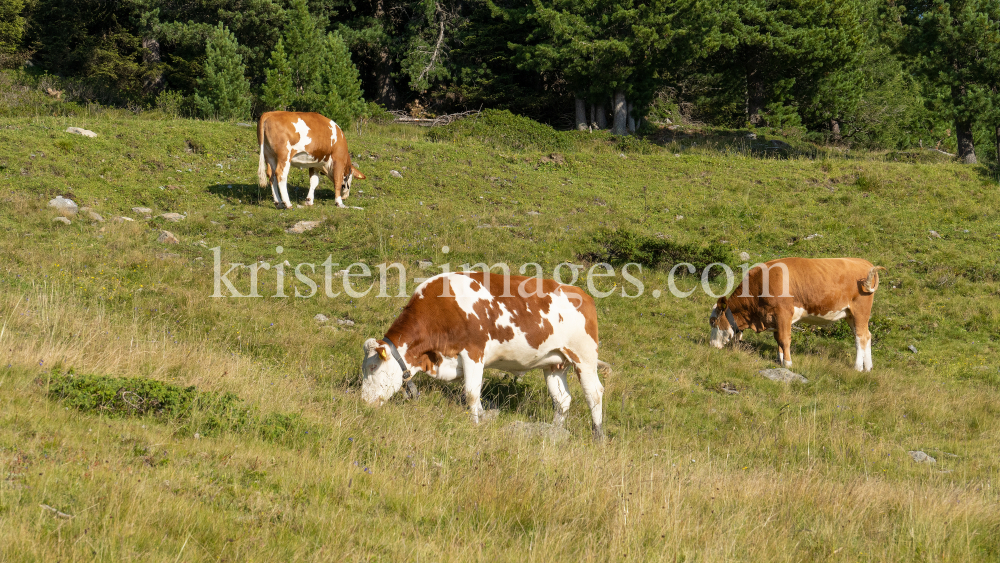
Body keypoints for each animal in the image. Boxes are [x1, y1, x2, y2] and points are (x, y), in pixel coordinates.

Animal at [360, 270, 608, 438]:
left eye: (373, 367)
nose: (363, 402)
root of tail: (581, 293)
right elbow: (474, 395)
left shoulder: (474, 353)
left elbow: (471, 394)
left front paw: (476, 425)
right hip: (555, 363)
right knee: (562, 399)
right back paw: (555, 432)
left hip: (584, 357)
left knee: (594, 394)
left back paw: (597, 436)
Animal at [712, 258, 884, 372]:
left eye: (713, 322)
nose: (711, 345)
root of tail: (863, 262)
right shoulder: (774, 318)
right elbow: (778, 340)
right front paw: (780, 360)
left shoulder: (783, 313)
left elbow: (784, 339)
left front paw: (788, 363)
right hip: (850, 315)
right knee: (867, 335)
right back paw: (868, 367)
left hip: (860, 310)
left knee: (860, 337)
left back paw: (857, 367)